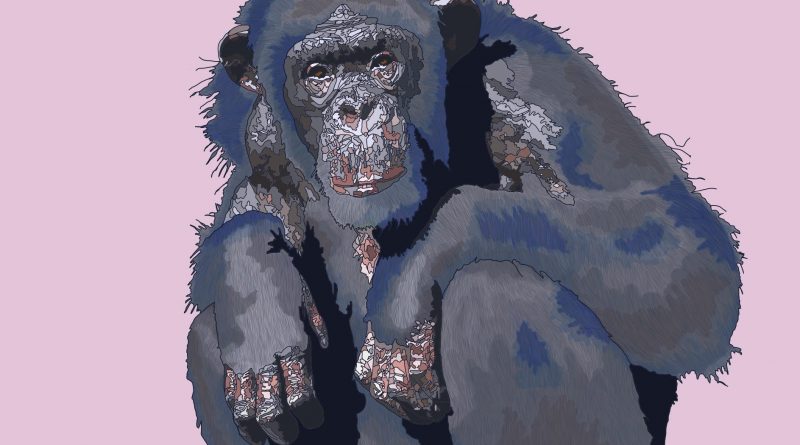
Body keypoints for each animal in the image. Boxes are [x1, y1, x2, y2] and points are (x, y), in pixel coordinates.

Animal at [185, 1, 742, 444]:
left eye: (383, 62)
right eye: (318, 73)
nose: (357, 108)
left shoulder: (535, 72)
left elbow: (679, 251)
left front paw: (404, 286)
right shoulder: (263, 136)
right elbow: (251, 209)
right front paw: (255, 292)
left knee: (495, 292)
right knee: (208, 339)